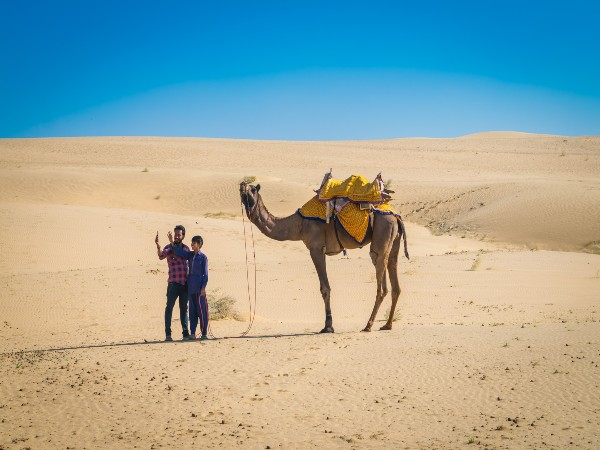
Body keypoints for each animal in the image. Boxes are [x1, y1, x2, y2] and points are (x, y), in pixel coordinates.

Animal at [239, 181, 408, 332]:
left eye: (253, 189)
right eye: (242, 190)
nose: (242, 185)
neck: (299, 225)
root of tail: (396, 217)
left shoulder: (316, 248)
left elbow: (325, 288)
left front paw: (328, 326)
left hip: (382, 232)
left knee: (381, 277)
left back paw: (368, 325)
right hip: (394, 242)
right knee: (395, 281)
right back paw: (387, 325)